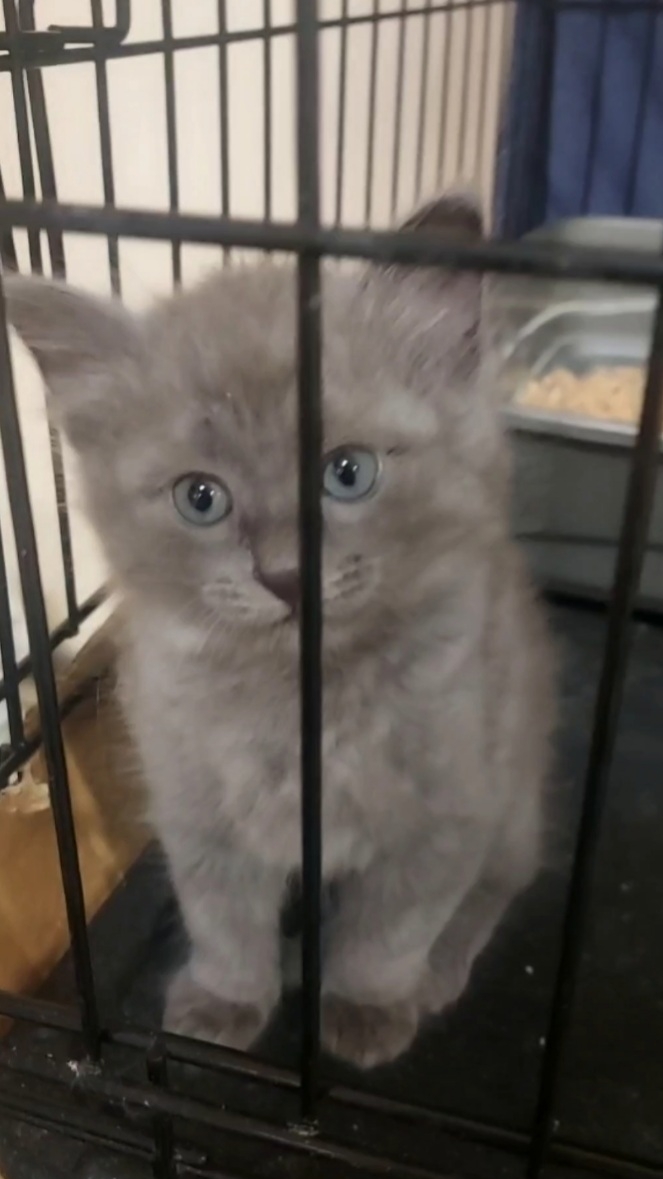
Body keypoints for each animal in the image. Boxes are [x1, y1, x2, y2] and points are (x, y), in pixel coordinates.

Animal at [4, 194, 555, 1070]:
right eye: (201, 497)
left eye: (347, 472)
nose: (285, 574)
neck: (300, 702)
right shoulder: (194, 803)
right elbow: (222, 915)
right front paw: (225, 1000)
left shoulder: (449, 808)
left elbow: (392, 928)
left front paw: (365, 1009)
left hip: (513, 792)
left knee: (502, 881)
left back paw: (435, 975)